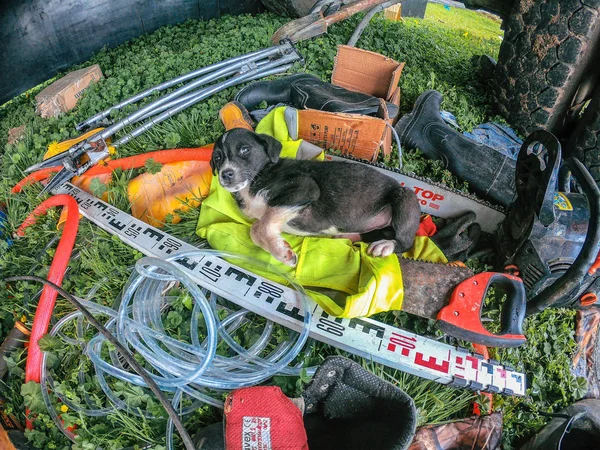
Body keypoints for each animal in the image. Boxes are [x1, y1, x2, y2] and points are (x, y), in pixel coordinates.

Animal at [211, 127, 422, 268]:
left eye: (244, 149)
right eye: (217, 158)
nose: (226, 174)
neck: (255, 180)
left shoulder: (305, 188)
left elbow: (262, 225)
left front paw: (282, 252)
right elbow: (256, 229)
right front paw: (279, 247)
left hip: (405, 200)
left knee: (405, 242)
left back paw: (385, 245)